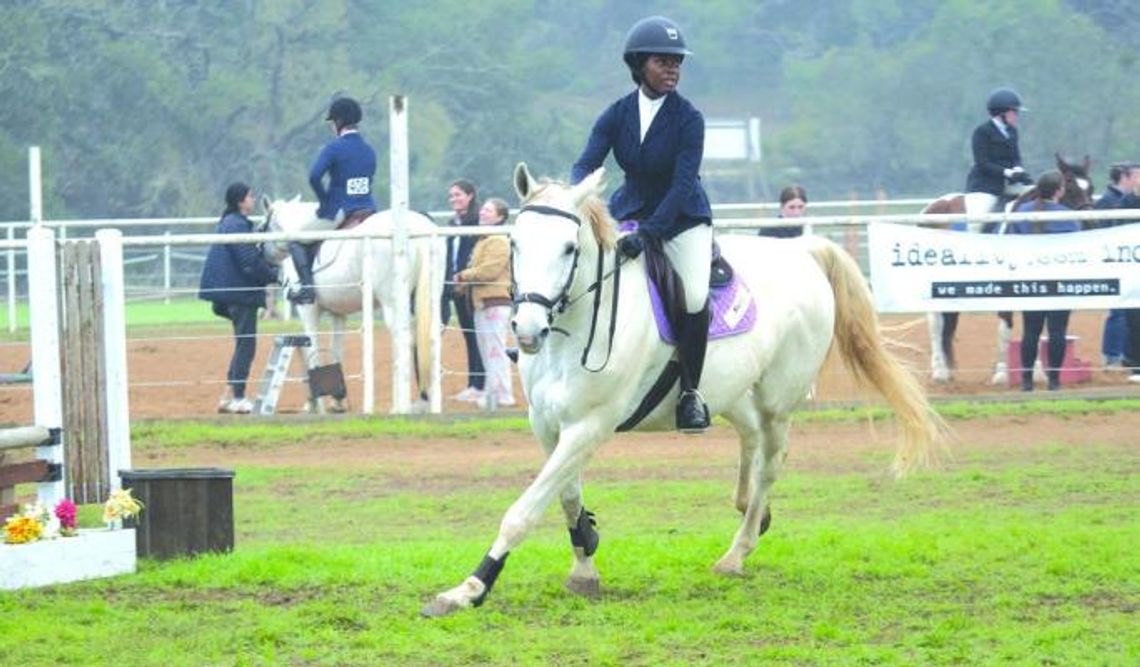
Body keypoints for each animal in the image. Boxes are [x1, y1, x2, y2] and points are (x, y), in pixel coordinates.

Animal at [261, 193, 442, 410]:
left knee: (405, 339)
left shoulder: (308, 309)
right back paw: (428, 400)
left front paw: (313, 401)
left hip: (393, 305)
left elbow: (313, 348)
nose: (260, 253)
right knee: (430, 337)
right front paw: (338, 398)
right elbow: (336, 350)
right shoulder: (338, 313)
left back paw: (402, 404)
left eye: (263, 226)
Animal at [421, 164, 943, 615]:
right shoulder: (547, 425)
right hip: (729, 392)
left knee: (771, 462)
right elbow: (566, 497)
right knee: (749, 439)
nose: (527, 330)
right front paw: (585, 562)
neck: (574, 330)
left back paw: (737, 551)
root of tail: (804, 252)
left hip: (777, 400)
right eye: (514, 243)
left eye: (570, 248)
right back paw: (750, 509)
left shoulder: (588, 427)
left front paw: (468, 589)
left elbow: (525, 509)